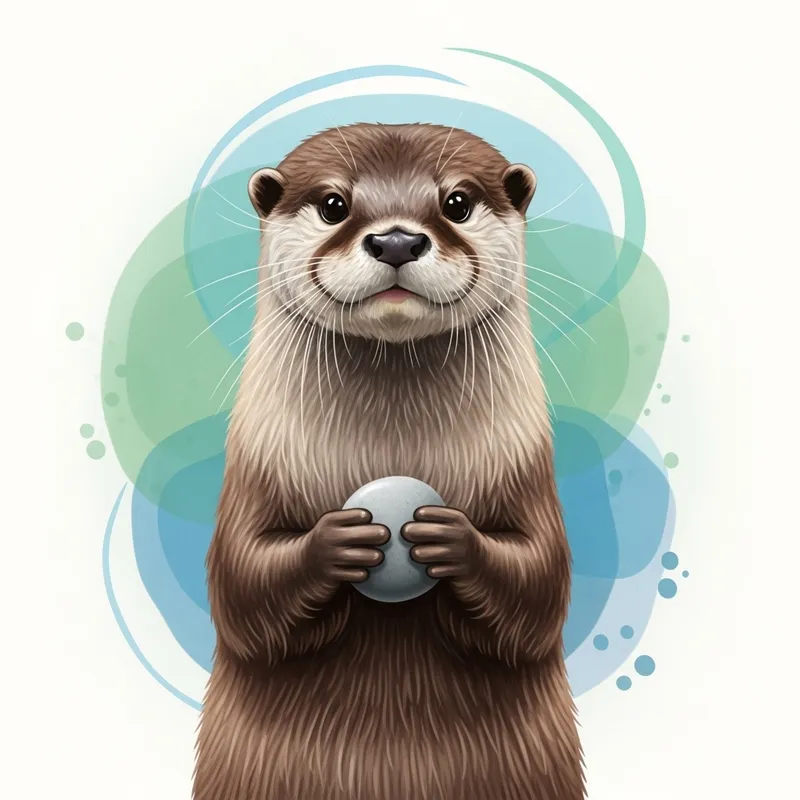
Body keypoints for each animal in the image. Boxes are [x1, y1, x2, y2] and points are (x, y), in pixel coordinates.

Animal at [194, 123, 585, 800]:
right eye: (333, 204)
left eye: (456, 202)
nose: (397, 239)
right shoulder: (253, 471)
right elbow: (240, 590)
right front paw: (336, 542)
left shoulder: (528, 469)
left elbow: (540, 590)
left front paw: (452, 538)